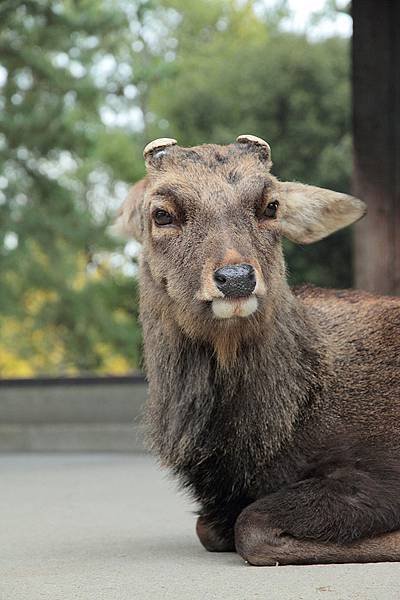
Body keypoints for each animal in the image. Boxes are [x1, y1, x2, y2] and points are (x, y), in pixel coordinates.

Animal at [115, 134, 400, 564]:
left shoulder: (383, 466)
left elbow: (251, 527)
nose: (236, 277)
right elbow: (208, 528)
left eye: (271, 206)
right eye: (161, 214)